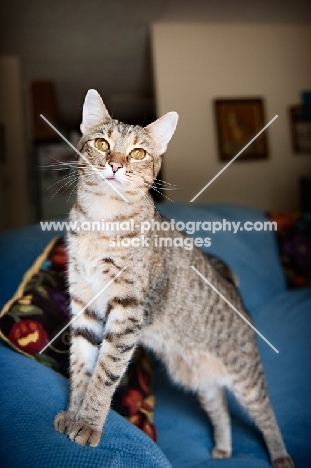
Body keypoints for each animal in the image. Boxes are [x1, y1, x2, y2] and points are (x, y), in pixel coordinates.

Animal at [54, 89, 294, 466]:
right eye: (102, 144)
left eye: (138, 152)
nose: (115, 164)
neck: (100, 221)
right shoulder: (84, 304)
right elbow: (81, 366)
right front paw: (74, 413)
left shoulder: (127, 311)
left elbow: (105, 372)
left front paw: (89, 423)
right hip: (200, 380)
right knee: (220, 408)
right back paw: (223, 447)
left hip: (246, 375)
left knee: (266, 413)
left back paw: (280, 455)